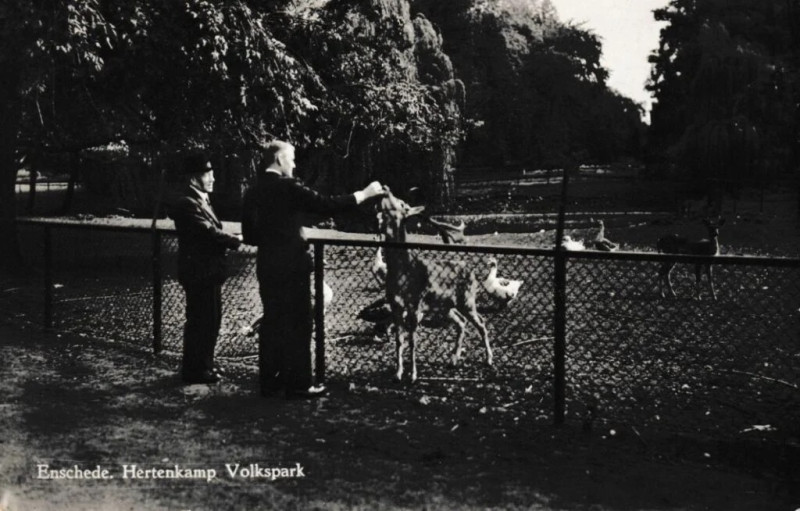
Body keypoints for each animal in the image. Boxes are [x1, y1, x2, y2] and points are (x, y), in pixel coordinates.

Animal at [378, 190, 490, 382]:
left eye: (402, 204)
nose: (385, 190)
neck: (402, 272)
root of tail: (473, 273)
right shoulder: (395, 305)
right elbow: (399, 340)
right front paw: (397, 373)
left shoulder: (415, 304)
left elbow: (412, 340)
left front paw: (413, 375)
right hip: (445, 306)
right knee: (462, 322)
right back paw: (453, 360)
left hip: (467, 299)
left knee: (481, 323)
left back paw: (489, 360)